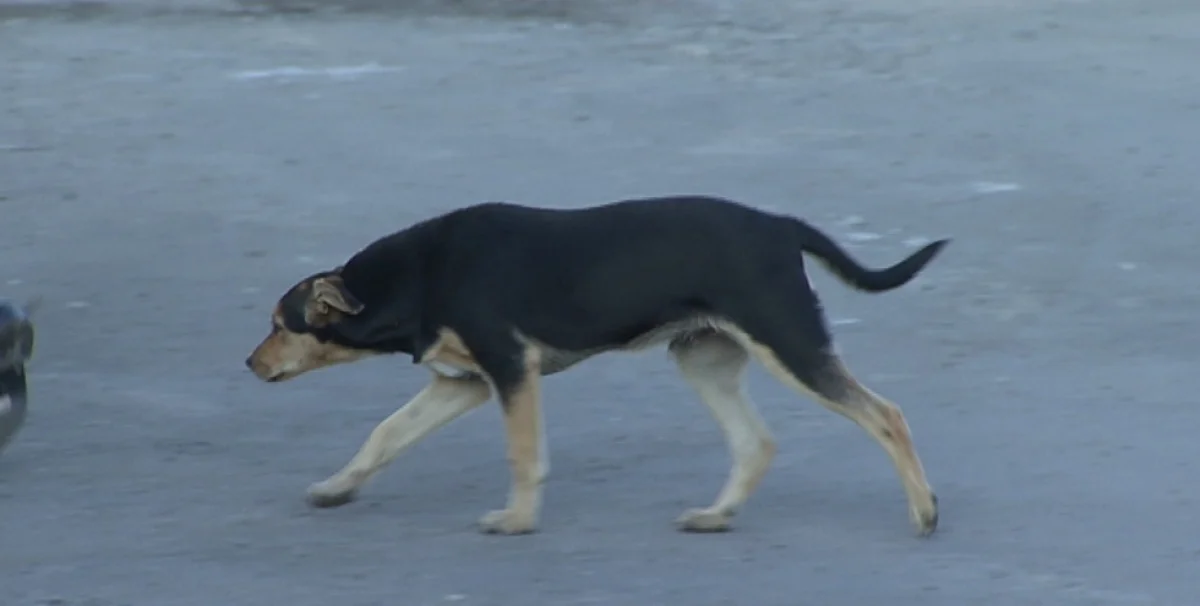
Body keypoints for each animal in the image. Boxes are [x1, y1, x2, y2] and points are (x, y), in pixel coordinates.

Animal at [243, 193, 950, 532]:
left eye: (280, 324)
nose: (249, 363)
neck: (418, 275)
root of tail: (781, 224)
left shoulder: (510, 370)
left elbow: (523, 455)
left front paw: (517, 521)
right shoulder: (465, 382)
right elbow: (386, 433)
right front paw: (336, 489)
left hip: (790, 344)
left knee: (886, 415)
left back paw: (924, 512)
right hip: (703, 357)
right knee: (757, 443)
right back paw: (714, 516)